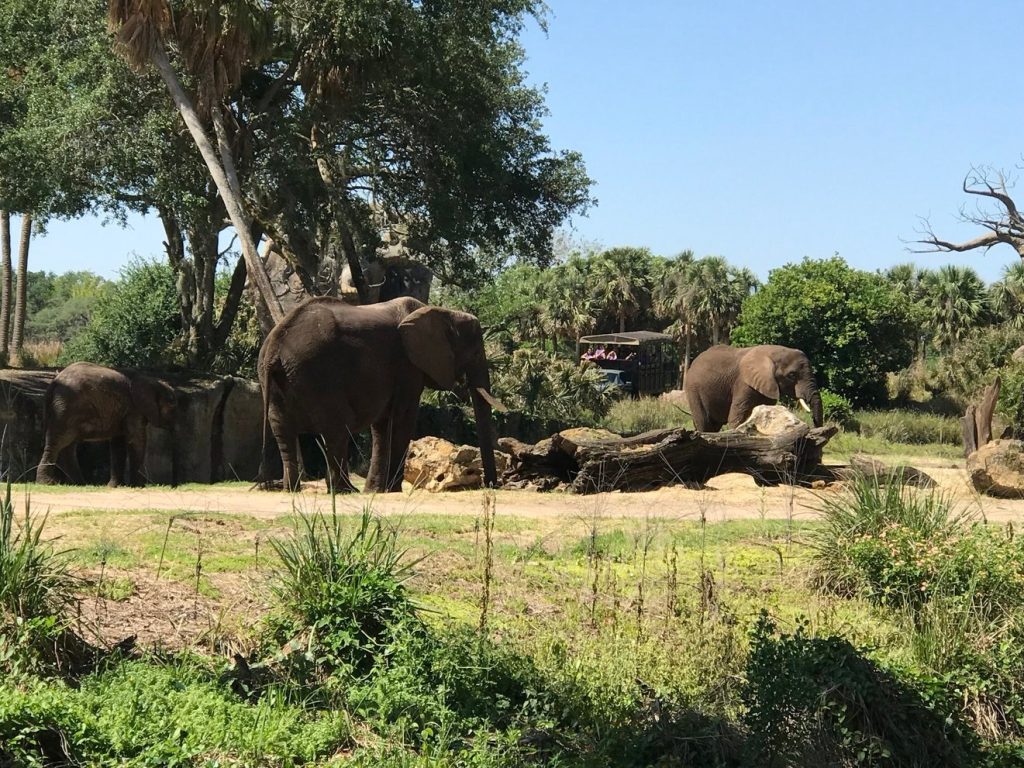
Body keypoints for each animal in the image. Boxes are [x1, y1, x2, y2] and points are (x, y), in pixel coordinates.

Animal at [35, 362, 176, 487]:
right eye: (172, 407)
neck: (153, 381)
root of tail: (54, 383)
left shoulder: (123, 411)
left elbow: (118, 444)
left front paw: (116, 486)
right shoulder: (134, 410)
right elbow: (136, 440)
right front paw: (138, 486)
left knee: (67, 445)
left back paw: (80, 484)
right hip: (66, 408)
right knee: (59, 442)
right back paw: (48, 483)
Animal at [258, 294, 501, 493]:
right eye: (476, 351)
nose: (491, 485)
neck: (442, 312)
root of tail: (275, 343)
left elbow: (382, 425)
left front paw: (374, 491)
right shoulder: (407, 366)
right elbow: (403, 418)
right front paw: (393, 490)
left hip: (276, 377)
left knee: (283, 430)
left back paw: (292, 490)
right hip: (317, 373)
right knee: (337, 427)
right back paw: (345, 491)